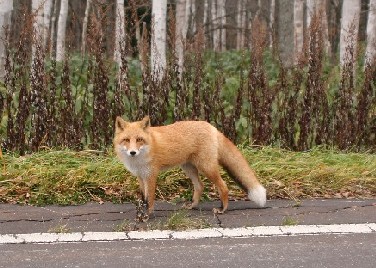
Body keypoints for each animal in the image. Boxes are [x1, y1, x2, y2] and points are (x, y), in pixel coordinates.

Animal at [113, 116, 266, 217]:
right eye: (126, 140)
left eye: (139, 139)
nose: (133, 152)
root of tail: (210, 126)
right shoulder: (141, 176)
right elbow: (144, 198)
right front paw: (142, 214)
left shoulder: (151, 175)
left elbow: (149, 198)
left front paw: (148, 215)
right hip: (189, 168)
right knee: (200, 186)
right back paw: (193, 206)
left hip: (206, 167)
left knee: (223, 186)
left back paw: (222, 209)